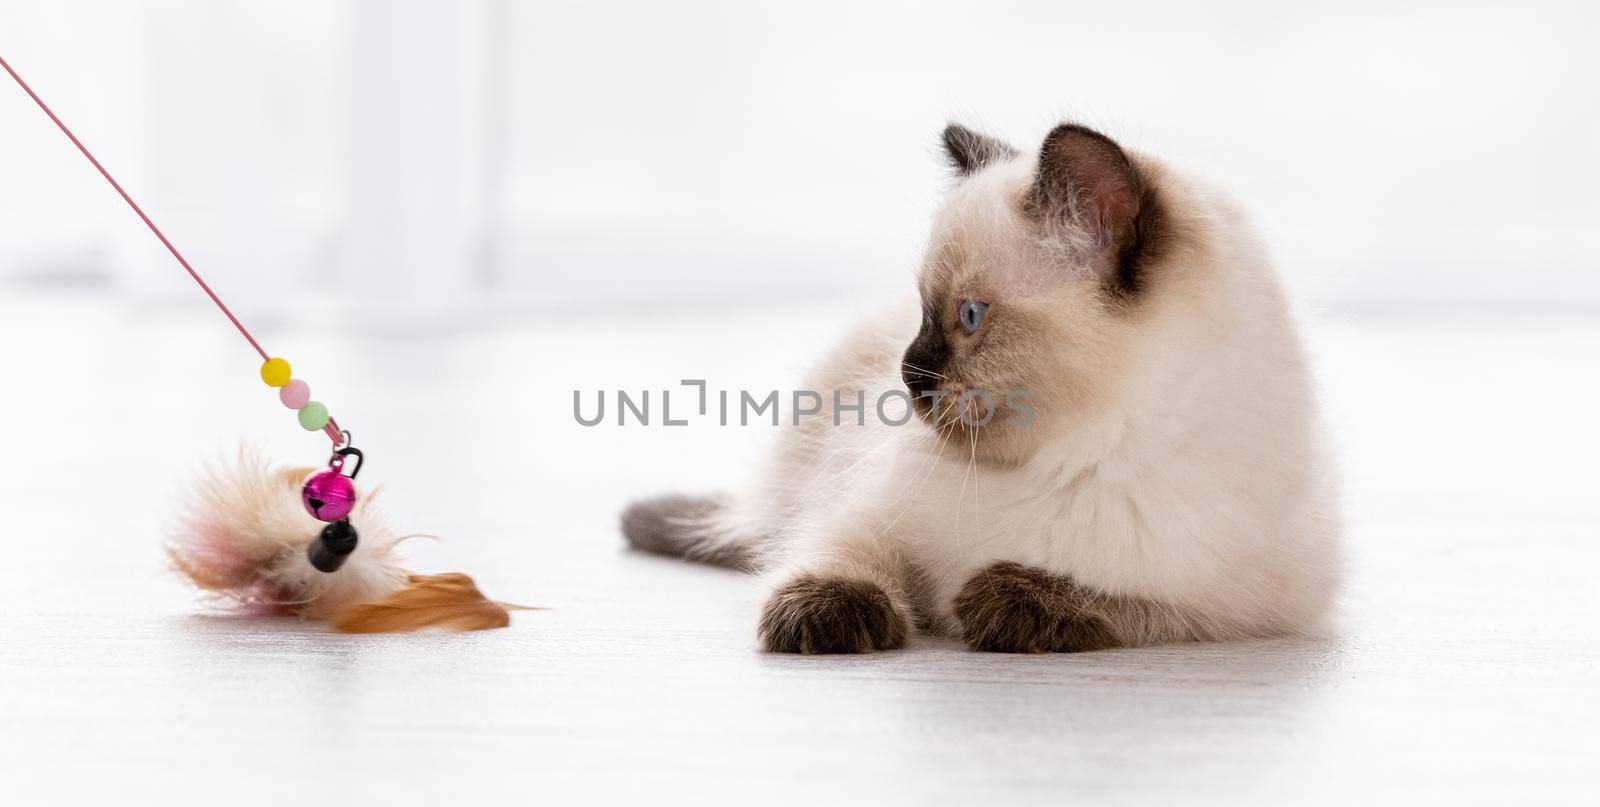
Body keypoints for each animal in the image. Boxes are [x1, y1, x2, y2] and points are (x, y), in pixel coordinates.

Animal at [620, 120, 1337, 653]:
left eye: (969, 316)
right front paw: (828, 616)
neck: (1069, 457)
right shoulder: (862, 514)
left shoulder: (1238, 606)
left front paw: (999, 601)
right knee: (762, 528)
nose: (907, 375)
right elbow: (837, 553)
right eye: (922, 312)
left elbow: (1121, 602)